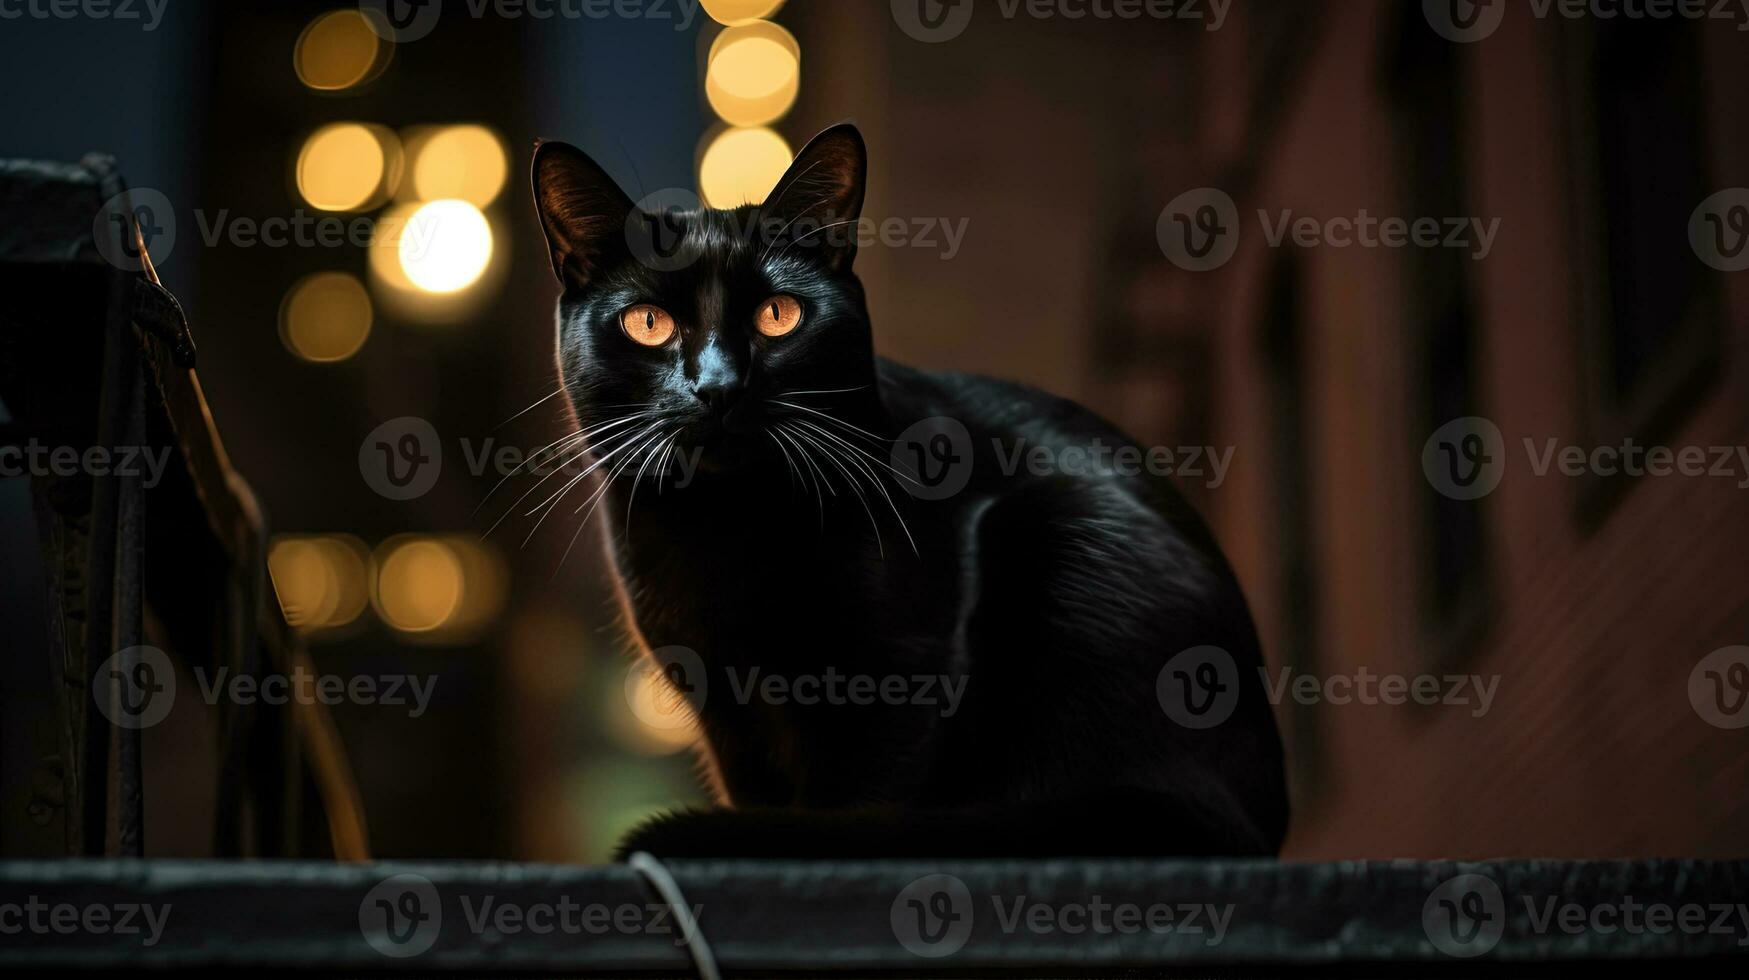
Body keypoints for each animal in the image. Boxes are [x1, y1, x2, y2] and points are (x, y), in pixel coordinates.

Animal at [521, 122, 1287, 857]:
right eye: (648, 323)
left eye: (778, 315)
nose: (718, 386)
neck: (725, 529)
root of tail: (1253, 818)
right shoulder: (729, 712)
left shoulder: (901, 675)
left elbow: (857, 810)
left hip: (1052, 533)